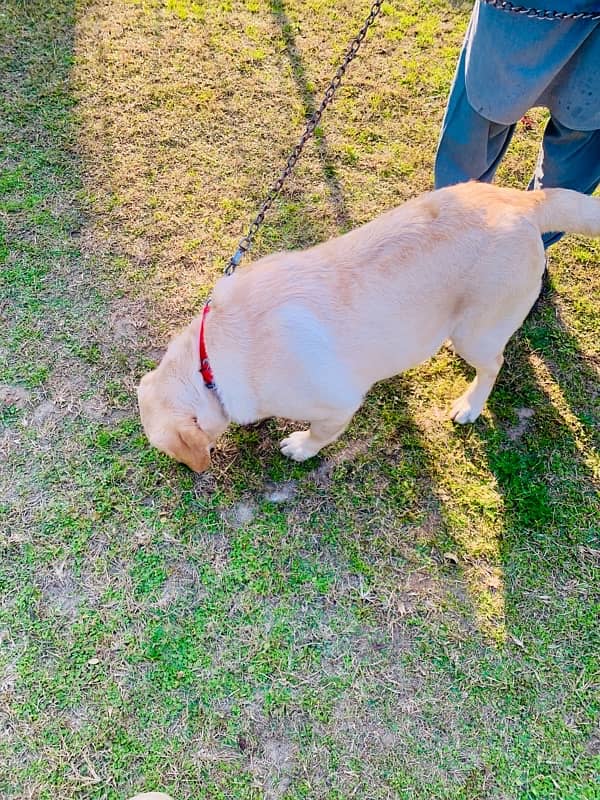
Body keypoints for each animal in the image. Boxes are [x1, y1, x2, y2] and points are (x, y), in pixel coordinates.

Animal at [137, 181, 600, 472]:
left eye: (171, 451)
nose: (187, 471)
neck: (208, 361)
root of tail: (523, 203)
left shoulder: (338, 405)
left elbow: (320, 435)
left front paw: (300, 447)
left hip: (476, 334)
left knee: (494, 364)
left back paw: (469, 405)